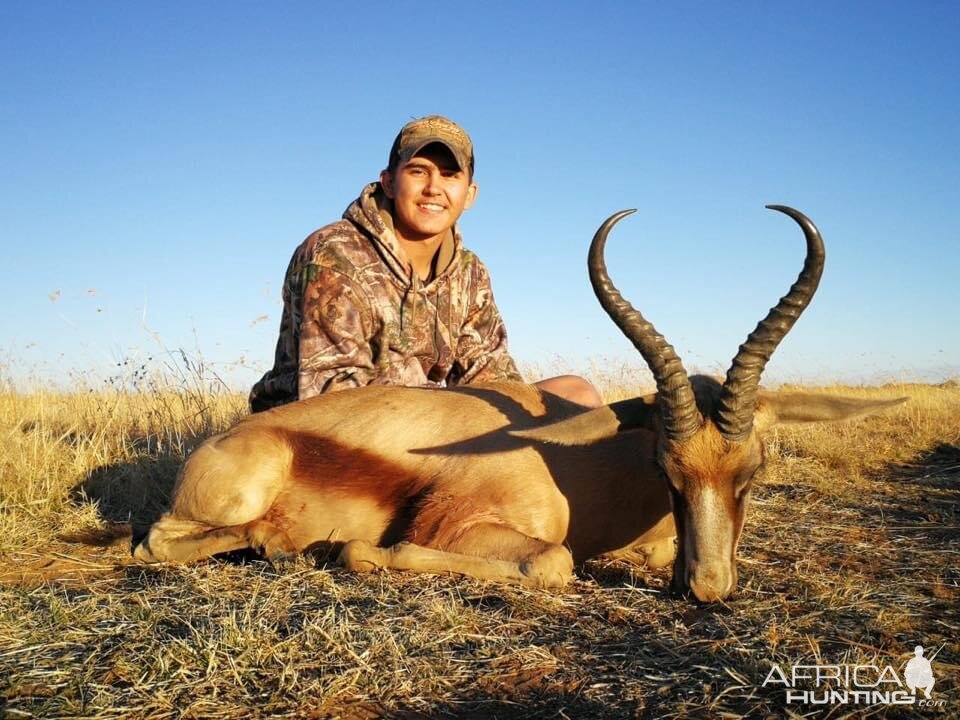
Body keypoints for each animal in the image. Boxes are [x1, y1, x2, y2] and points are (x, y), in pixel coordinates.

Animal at [137, 207, 908, 600]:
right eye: (667, 468)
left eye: (753, 473)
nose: (709, 588)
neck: (575, 466)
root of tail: (227, 439)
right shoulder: (460, 530)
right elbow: (552, 562)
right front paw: (353, 549)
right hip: (230, 495)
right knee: (154, 541)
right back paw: (274, 543)